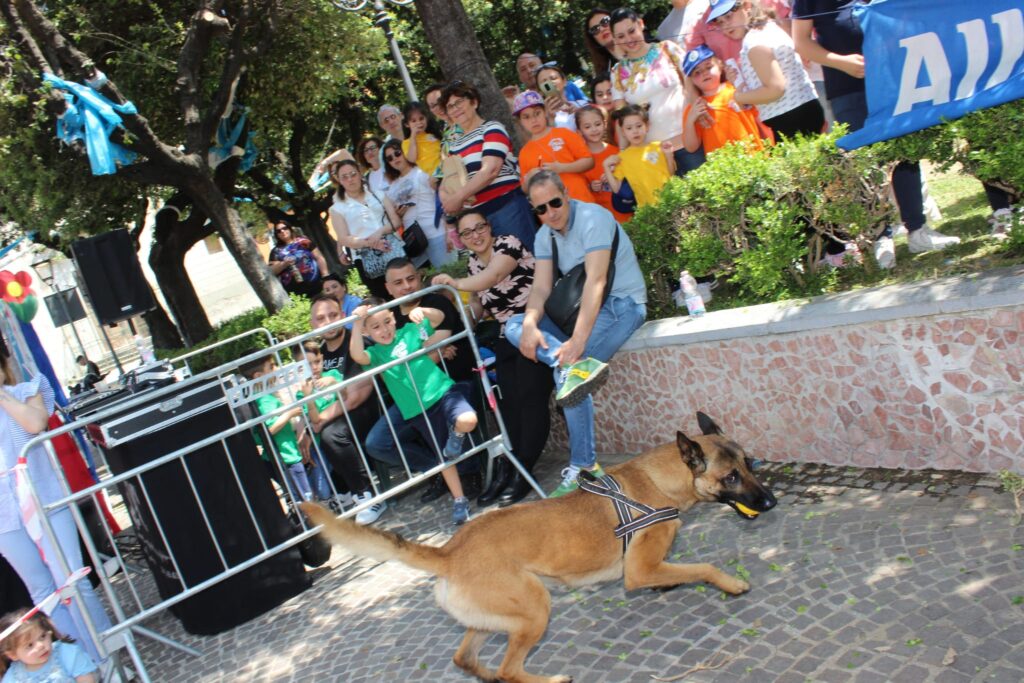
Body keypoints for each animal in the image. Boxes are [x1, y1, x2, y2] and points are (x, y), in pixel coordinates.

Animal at [301, 411, 774, 683]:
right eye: (731, 477)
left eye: (750, 463)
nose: (770, 502)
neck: (657, 481)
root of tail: (449, 553)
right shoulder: (638, 569)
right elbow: (703, 568)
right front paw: (730, 583)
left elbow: (675, 572)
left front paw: (669, 585)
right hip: (535, 609)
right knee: (510, 670)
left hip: (495, 619)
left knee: (468, 661)